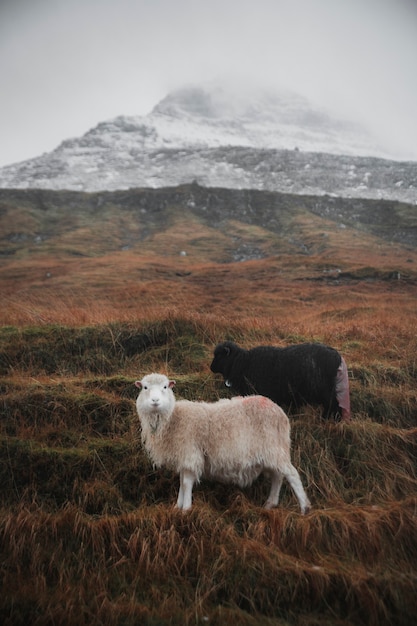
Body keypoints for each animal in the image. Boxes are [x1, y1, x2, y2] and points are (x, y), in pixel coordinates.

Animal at [135, 370, 310, 512]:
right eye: (145, 388)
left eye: (165, 387)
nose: (155, 401)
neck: (172, 419)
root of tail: (279, 411)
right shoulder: (183, 456)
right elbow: (181, 482)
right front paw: (177, 507)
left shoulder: (190, 452)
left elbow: (186, 483)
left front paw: (186, 509)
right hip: (271, 452)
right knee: (277, 476)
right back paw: (270, 503)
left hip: (274, 447)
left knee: (292, 474)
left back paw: (304, 508)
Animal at [210, 336, 350, 420]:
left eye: (219, 355)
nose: (211, 367)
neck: (241, 362)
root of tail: (337, 357)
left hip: (326, 392)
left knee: (333, 406)